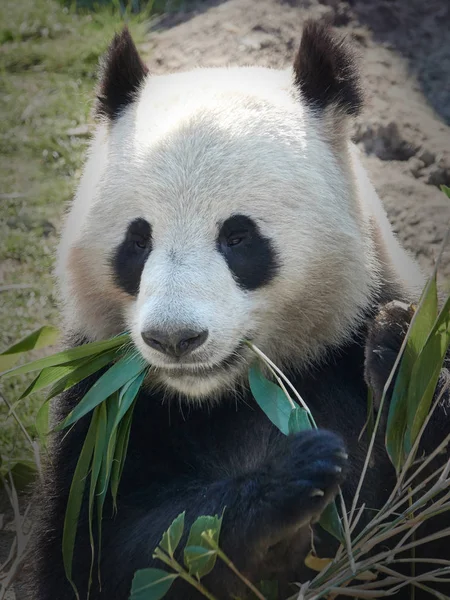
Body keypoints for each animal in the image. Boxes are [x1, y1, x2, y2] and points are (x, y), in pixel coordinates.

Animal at [26, 18, 448, 600]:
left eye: (238, 236)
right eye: (138, 241)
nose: (175, 338)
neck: (227, 395)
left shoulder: (353, 332)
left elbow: (423, 531)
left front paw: (400, 349)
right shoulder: (103, 413)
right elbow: (106, 555)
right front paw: (289, 485)